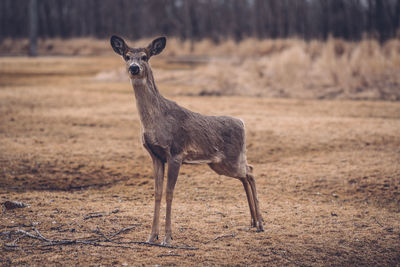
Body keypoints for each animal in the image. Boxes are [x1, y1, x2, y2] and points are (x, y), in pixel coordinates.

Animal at [111, 35, 264, 247]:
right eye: (126, 56)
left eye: (144, 57)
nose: (134, 68)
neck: (155, 121)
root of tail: (242, 123)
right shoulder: (155, 155)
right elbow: (157, 192)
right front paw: (151, 236)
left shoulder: (176, 152)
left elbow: (169, 192)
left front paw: (167, 237)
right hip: (220, 164)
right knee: (245, 175)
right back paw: (253, 222)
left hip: (231, 159)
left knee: (250, 171)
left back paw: (261, 223)